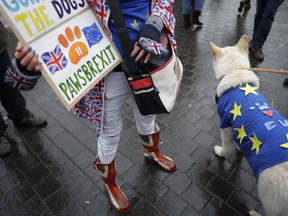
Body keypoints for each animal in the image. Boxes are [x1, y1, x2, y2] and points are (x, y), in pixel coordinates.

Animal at [209, 34, 288, 215]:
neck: (235, 72)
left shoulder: (225, 124)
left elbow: (227, 146)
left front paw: (221, 152)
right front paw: (241, 147)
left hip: (268, 195)